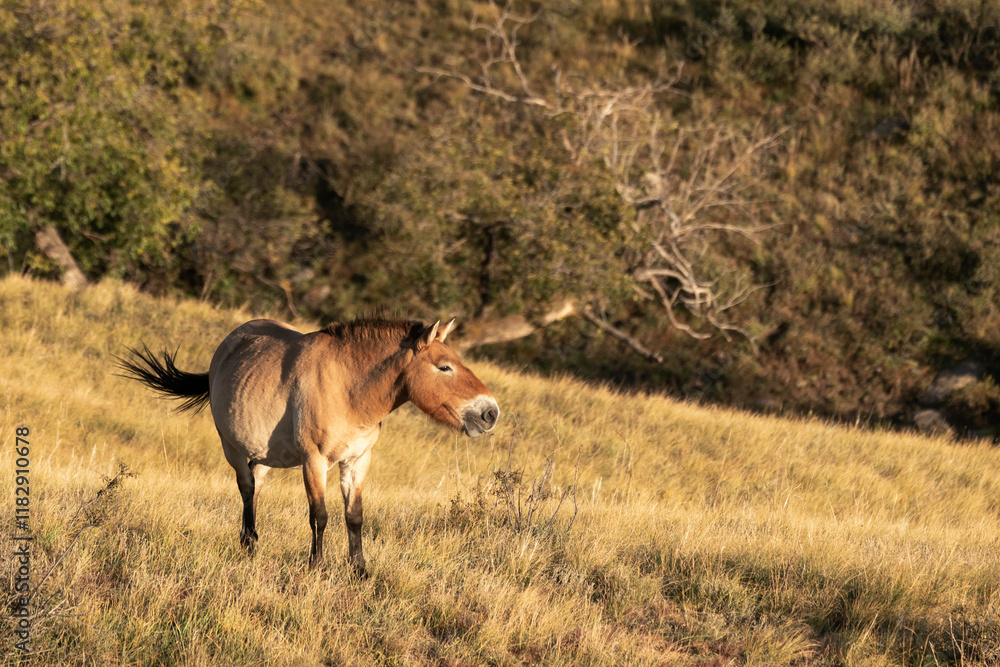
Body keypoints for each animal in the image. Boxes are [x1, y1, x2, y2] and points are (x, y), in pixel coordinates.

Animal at [116, 316, 499, 575]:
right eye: (445, 367)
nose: (490, 412)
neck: (349, 388)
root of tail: (229, 343)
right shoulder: (314, 461)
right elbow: (320, 515)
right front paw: (317, 565)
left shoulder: (357, 460)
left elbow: (354, 516)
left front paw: (360, 570)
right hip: (233, 448)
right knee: (246, 487)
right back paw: (249, 543)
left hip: (266, 455)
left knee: (255, 487)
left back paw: (249, 538)